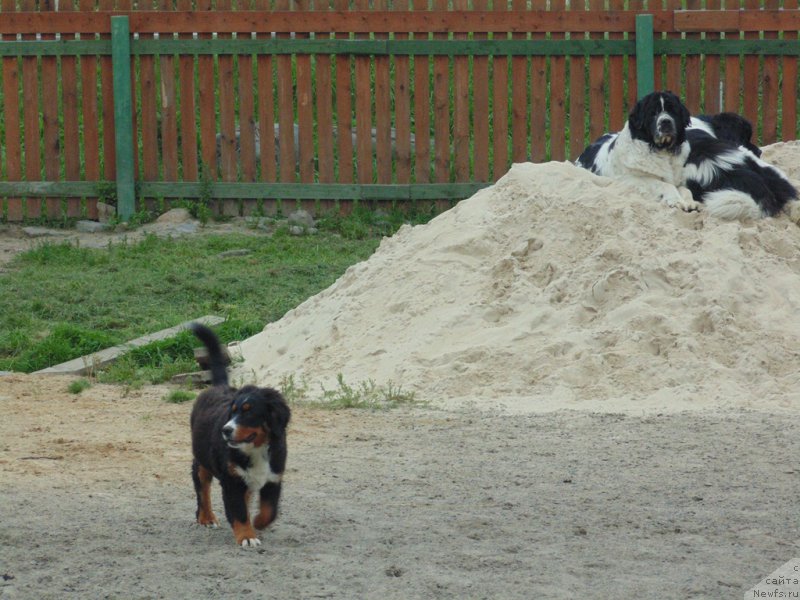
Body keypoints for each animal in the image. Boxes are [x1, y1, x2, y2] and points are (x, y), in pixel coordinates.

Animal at [188, 324, 290, 548]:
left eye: (248, 412)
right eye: (232, 412)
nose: (225, 430)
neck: (256, 450)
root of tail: (218, 387)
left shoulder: (273, 478)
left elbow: (269, 511)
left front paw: (258, 523)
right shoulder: (231, 481)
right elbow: (239, 512)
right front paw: (247, 536)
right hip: (202, 461)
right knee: (202, 489)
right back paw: (206, 517)